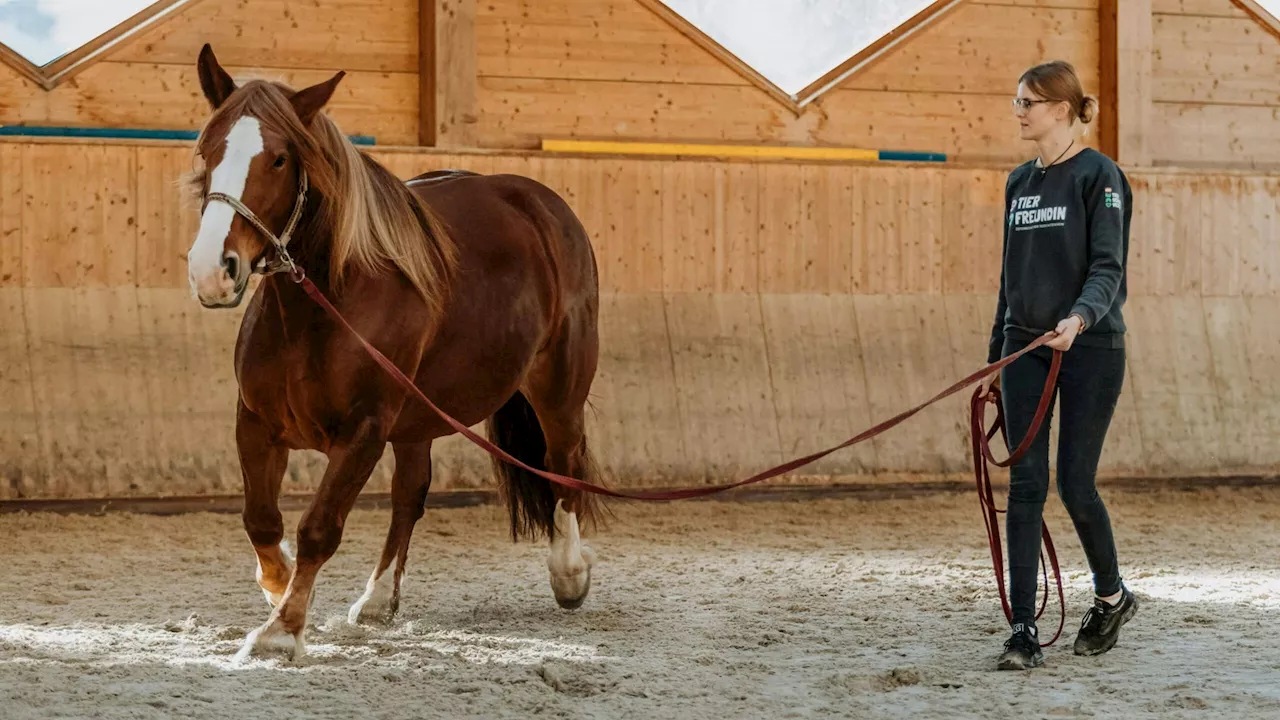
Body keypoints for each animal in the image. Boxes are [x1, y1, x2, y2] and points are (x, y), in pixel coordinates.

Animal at [184, 47, 609, 661]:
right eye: (209, 149)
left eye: (281, 159)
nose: (212, 271)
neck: (321, 306)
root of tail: (543, 207)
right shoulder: (256, 422)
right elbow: (261, 521)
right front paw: (276, 583)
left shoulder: (364, 430)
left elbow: (319, 527)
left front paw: (282, 629)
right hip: (417, 419)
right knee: (412, 493)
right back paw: (378, 599)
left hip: (558, 389)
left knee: (564, 465)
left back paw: (569, 573)